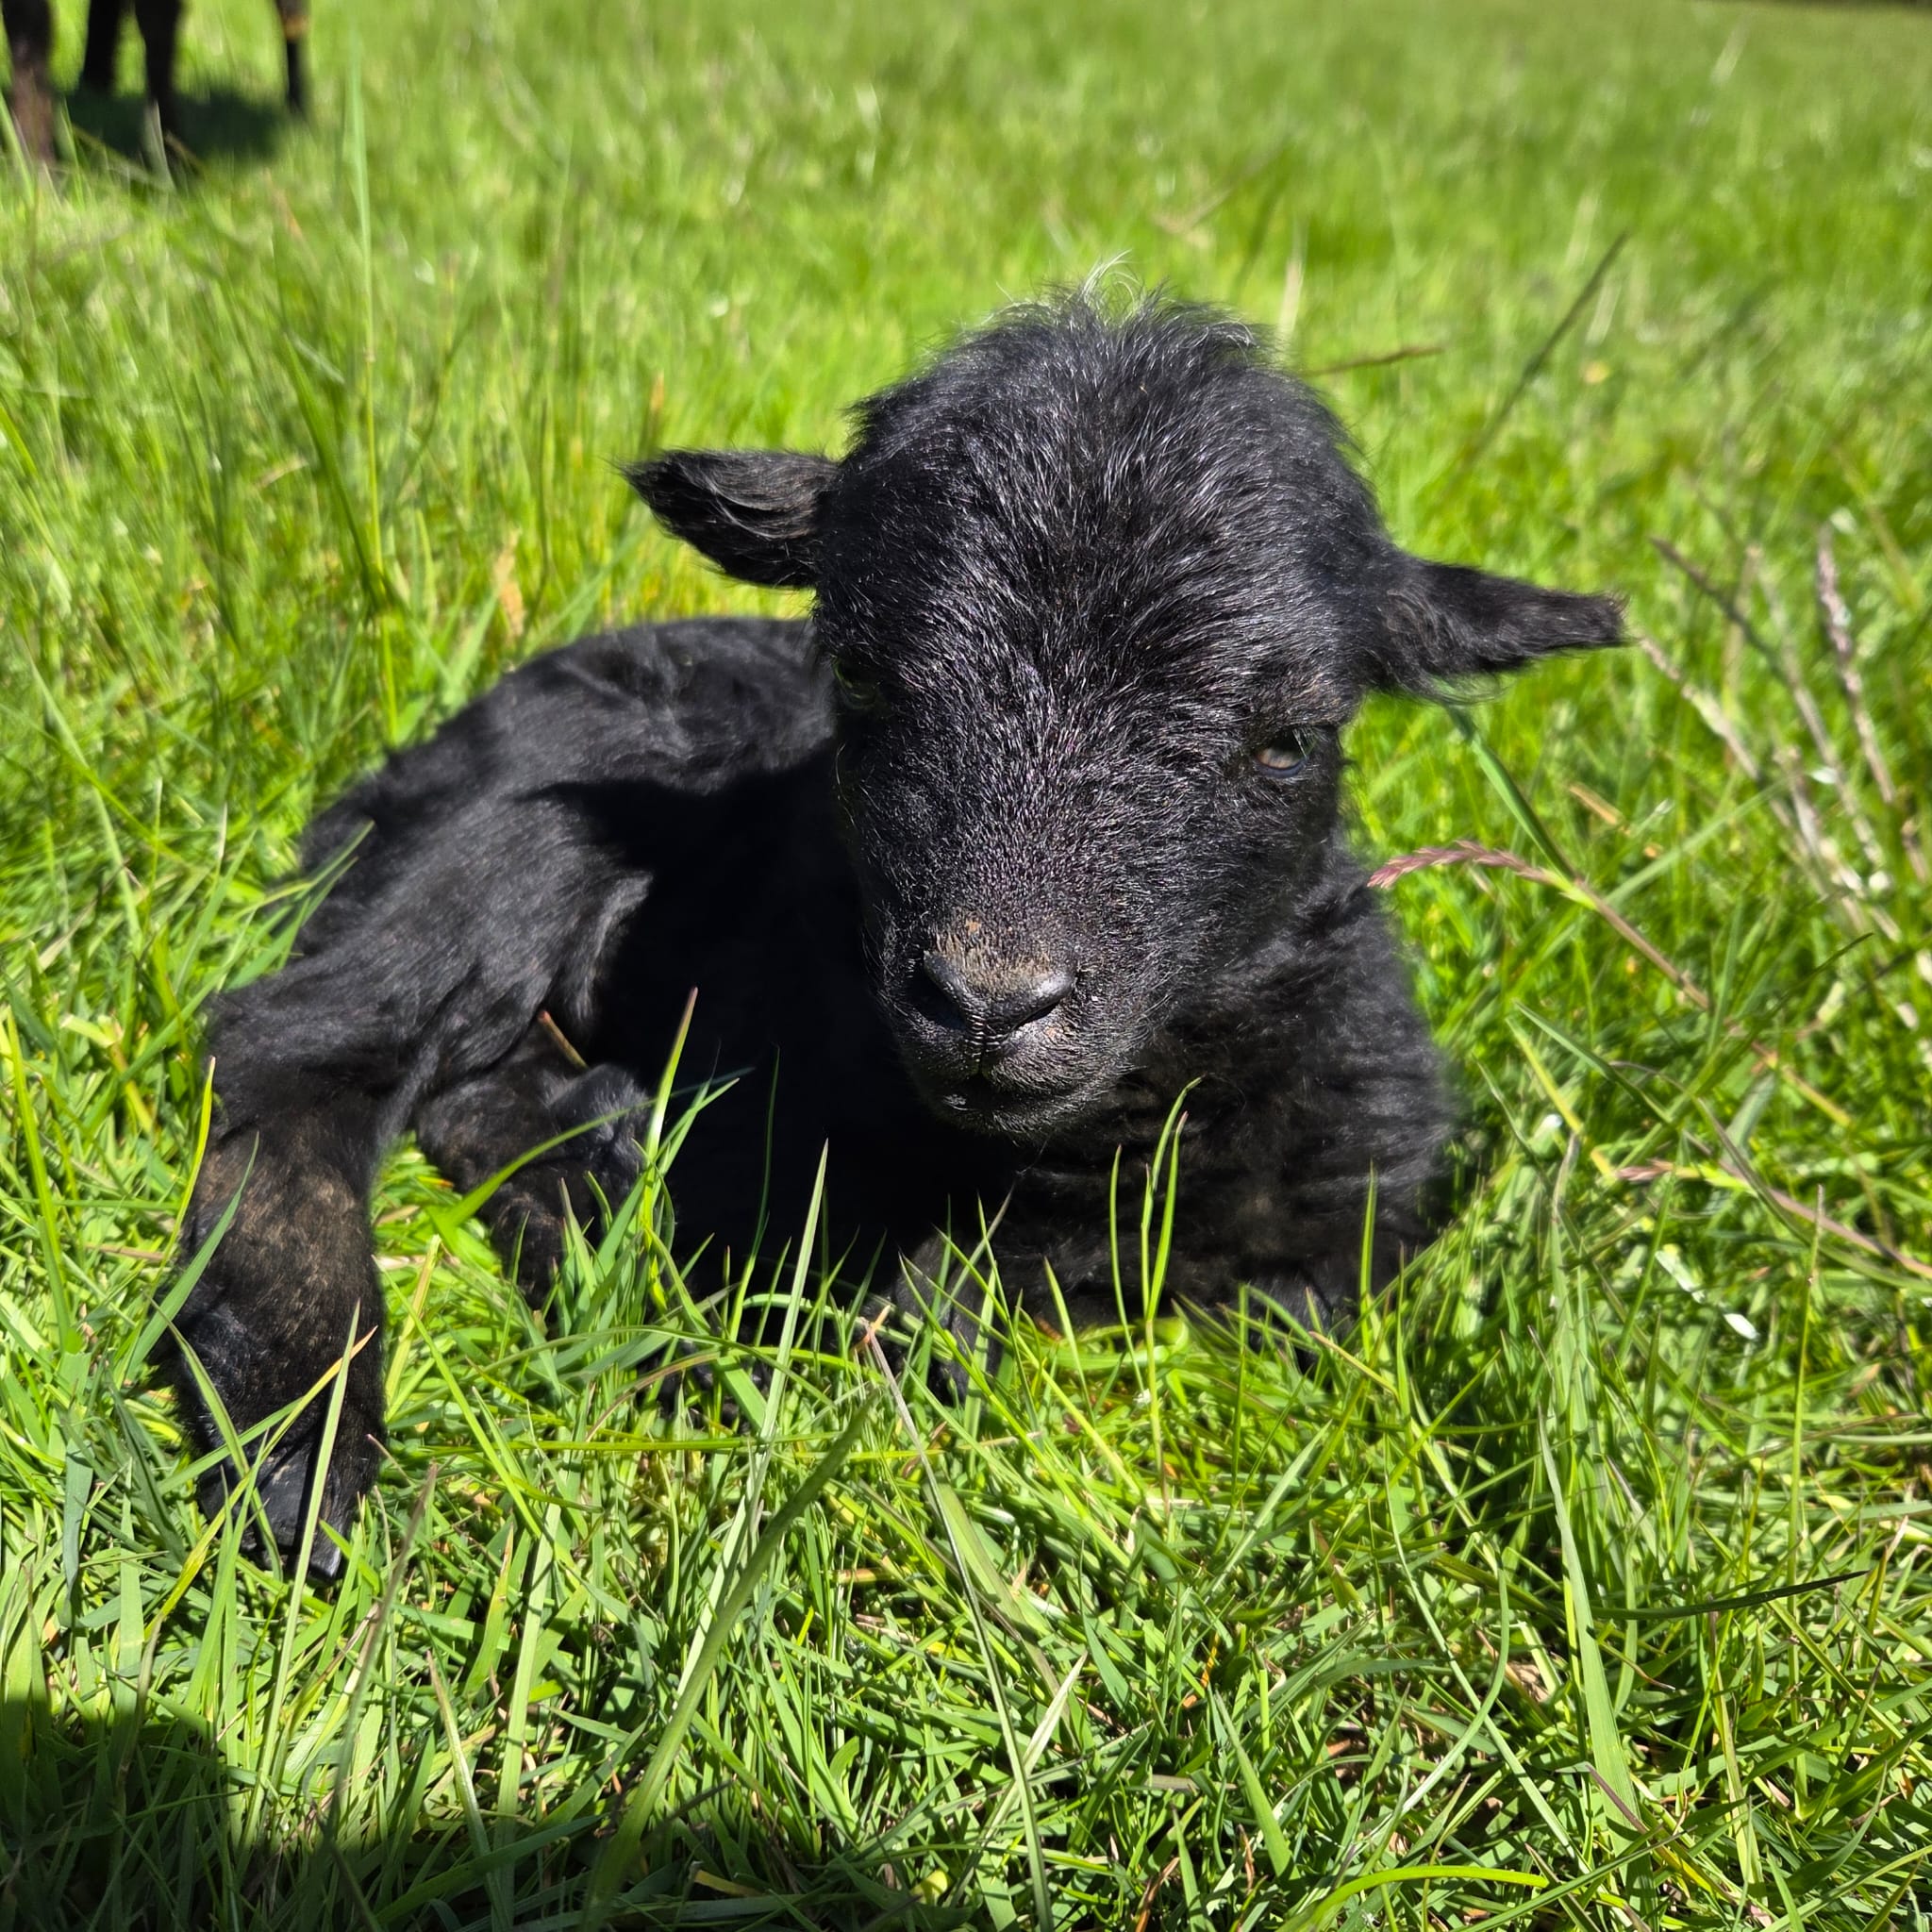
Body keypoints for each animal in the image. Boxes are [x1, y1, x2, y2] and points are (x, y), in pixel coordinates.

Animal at [3, 0, 308, 167]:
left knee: (291, 17)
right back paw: (94, 83)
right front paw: (36, 167)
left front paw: (169, 157)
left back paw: (298, 111)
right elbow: (30, 30)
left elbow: (157, 25)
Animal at [170, 293, 1623, 1573]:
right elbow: (909, 1321)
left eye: (1289, 740)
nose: (988, 1002)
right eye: (862, 677)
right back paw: (308, 1445)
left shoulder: (1342, 1244)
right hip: (509, 830)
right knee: (296, 1049)